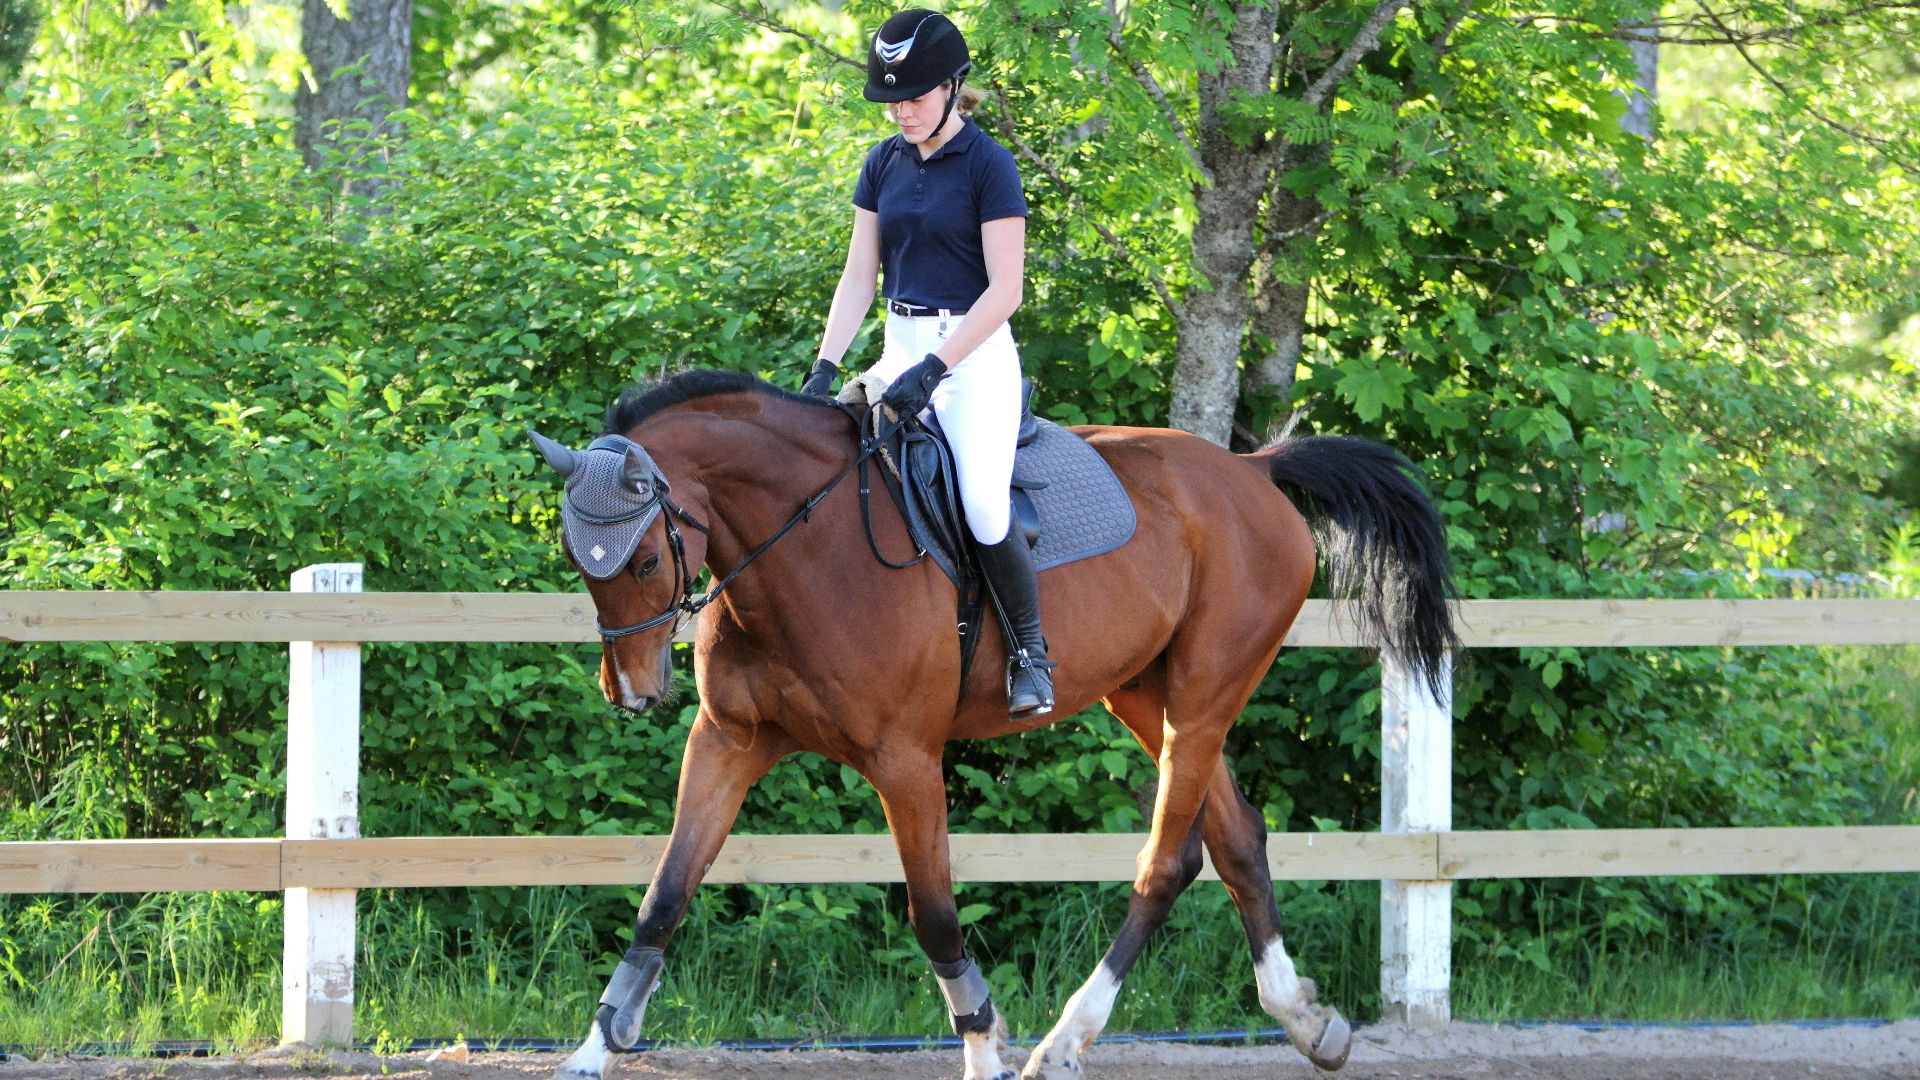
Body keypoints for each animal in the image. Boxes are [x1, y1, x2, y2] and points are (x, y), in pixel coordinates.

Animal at [529, 369, 1457, 1080]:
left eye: (646, 559)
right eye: (579, 560)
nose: (632, 692)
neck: (805, 545)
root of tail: (1254, 473)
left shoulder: (904, 758)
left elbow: (935, 914)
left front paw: (984, 1044)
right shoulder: (728, 741)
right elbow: (665, 893)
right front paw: (593, 1049)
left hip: (1205, 694)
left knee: (1164, 863)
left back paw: (1065, 1042)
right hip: (1148, 696)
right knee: (1232, 842)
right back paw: (1305, 1020)